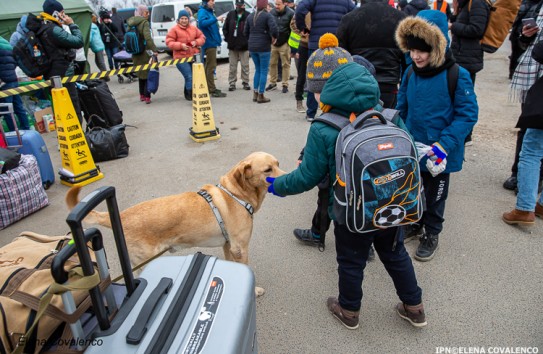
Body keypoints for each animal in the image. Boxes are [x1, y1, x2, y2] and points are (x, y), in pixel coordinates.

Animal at [67, 152, 284, 296]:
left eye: (278, 163)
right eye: (267, 169)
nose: (286, 177)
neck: (235, 193)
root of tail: (121, 215)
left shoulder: (228, 245)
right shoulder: (240, 248)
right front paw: (253, 290)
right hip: (148, 261)